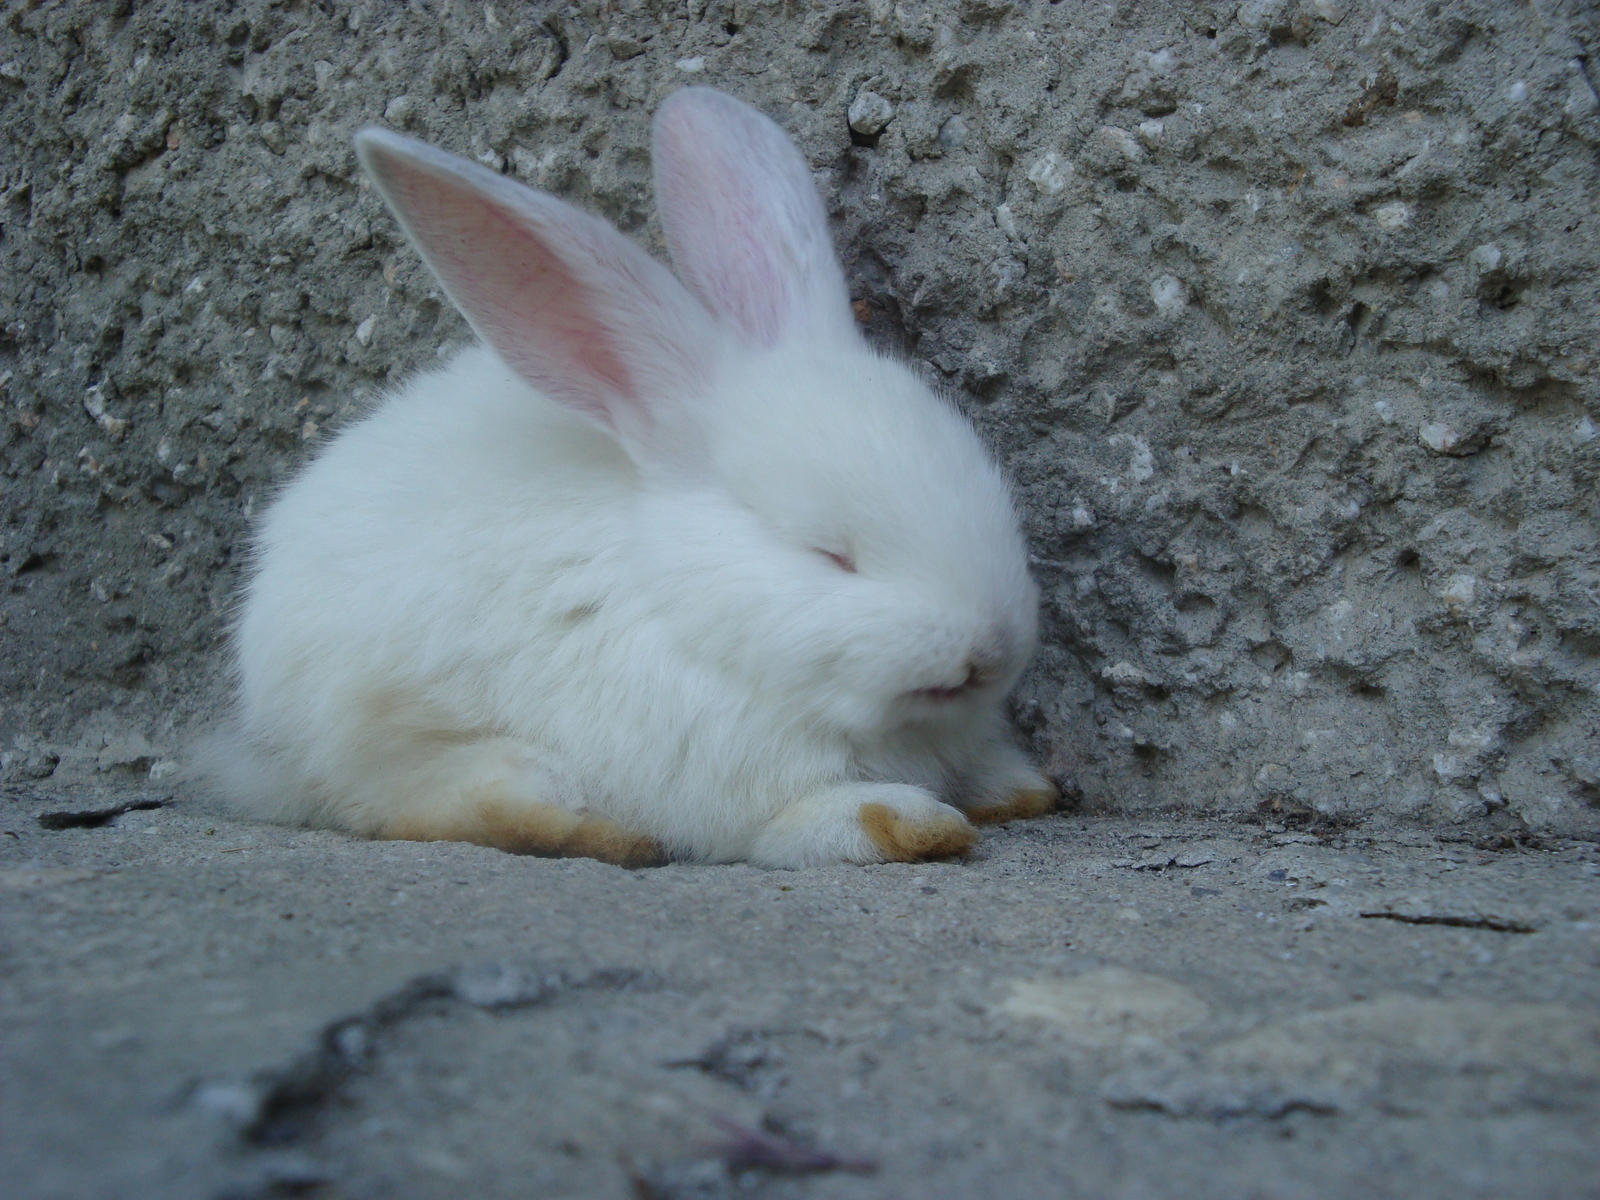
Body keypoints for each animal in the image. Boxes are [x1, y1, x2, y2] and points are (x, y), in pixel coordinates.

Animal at [224, 87, 1057, 868]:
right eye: (829, 553)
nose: (994, 648)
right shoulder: (725, 778)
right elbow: (803, 822)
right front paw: (912, 823)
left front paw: (1022, 789)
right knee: (428, 802)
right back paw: (592, 832)